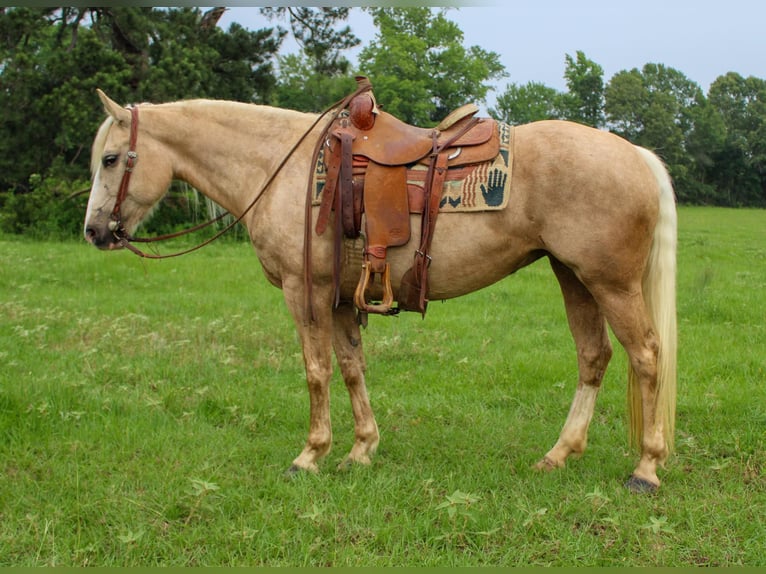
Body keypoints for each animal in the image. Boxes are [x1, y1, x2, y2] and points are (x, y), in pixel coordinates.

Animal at [84, 89, 677, 492]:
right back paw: (558, 454)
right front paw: (361, 450)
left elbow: (317, 371)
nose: (94, 231)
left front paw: (310, 455)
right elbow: (351, 368)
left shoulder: (305, 292)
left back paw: (646, 468)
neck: (280, 168)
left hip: (610, 282)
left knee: (646, 356)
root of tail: (637, 154)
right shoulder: (341, 298)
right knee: (593, 357)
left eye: (111, 159)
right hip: (573, 275)